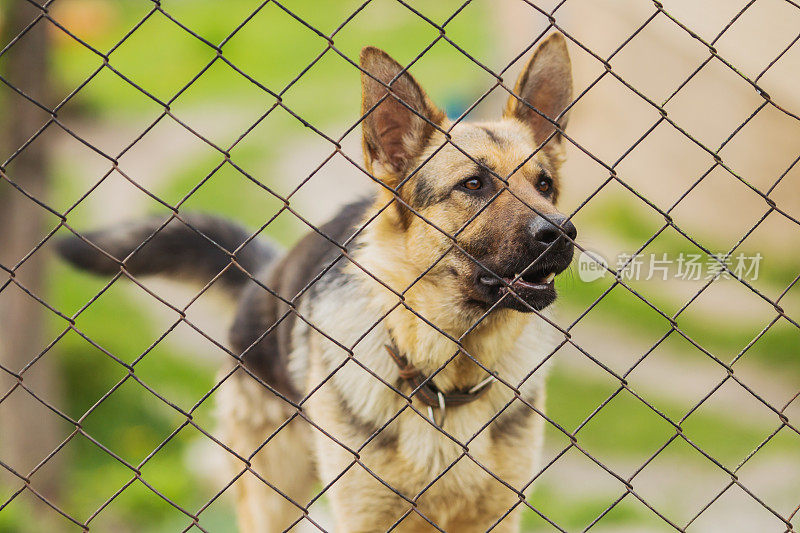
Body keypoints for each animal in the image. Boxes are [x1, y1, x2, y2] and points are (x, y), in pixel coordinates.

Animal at [59, 33, 580, 532]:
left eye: (545, 185)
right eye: (474, 185)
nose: (562, 233)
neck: (444, 377)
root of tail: (264, 277)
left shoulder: (496, 516)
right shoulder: (363, 516)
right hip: (271, 498)